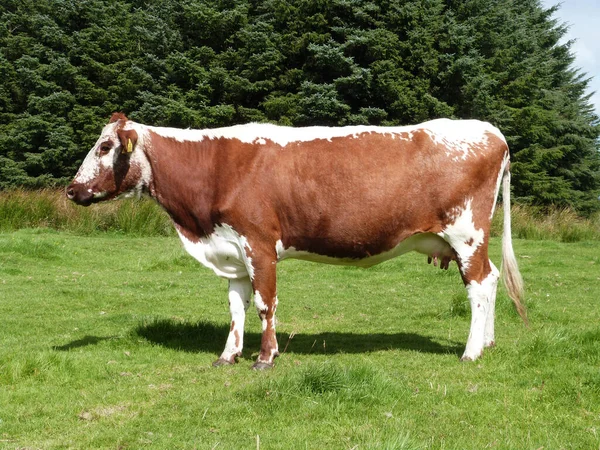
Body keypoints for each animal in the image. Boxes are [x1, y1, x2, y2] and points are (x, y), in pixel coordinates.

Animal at [65, 112, 524, 370]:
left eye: (104, 146)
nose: (72, 190)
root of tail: (490, 131)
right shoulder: (231, 251)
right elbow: (236, 307)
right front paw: (228, 356)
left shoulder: (259, 244)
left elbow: (265, 304)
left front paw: (265, 358)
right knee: (492, 280)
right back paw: (488, 342)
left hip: (466, 234)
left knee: (479, 286)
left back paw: (471, 352)